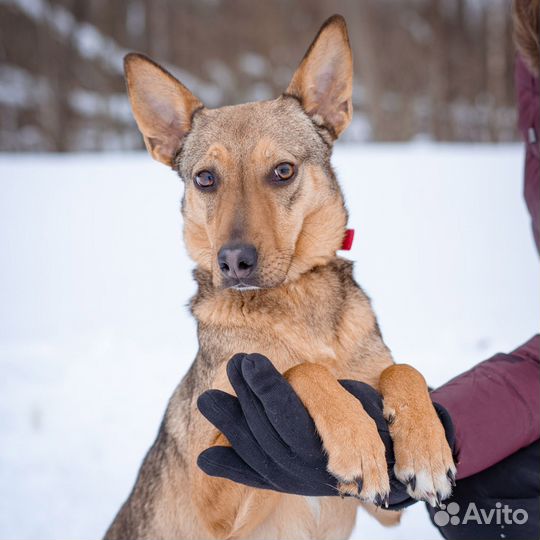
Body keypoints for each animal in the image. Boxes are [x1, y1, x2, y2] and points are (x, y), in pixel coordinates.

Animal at [103, 14, 454, 536]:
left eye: (283, 170)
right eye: (205, 178)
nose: (233, 262)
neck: (294, 303)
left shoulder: (385, 507)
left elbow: (402, 368)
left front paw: (427, 448)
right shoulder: (212, 486)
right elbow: (299, 369)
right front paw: (355, 438)